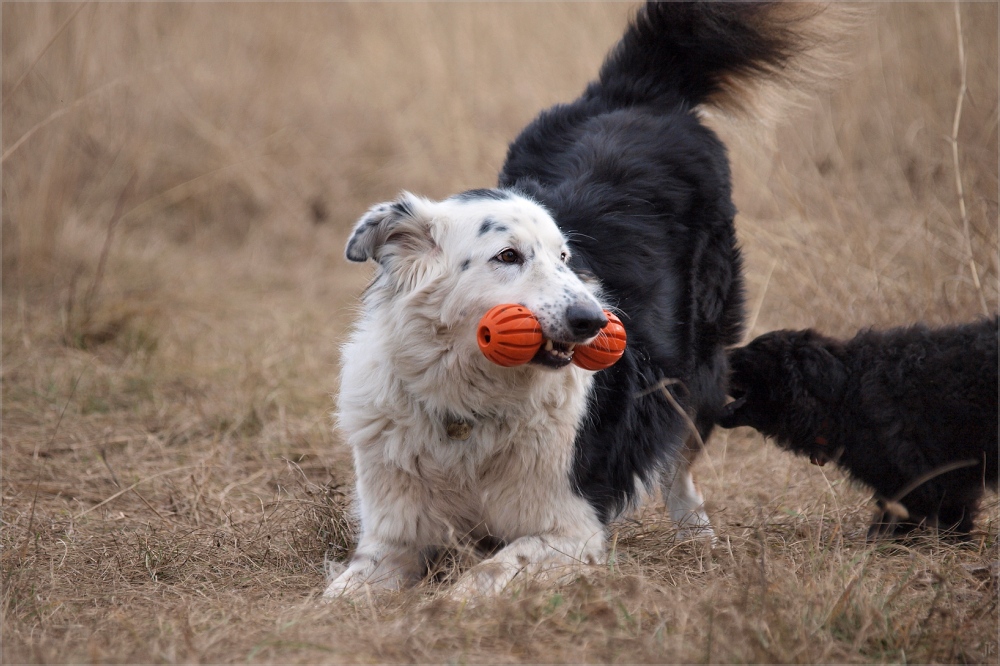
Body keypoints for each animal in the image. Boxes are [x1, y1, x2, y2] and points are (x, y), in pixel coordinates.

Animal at [328, 2, 820, 592]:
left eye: (565, 258)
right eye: (508, 256)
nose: (594, 320)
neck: (466, 408)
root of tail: (634, 91)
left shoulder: (572, 527)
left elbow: (487, 573)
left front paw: (445, 603)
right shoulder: (391, 537)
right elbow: (340, 592)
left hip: (699, 362)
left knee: (680, 460)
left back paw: (697, 537)